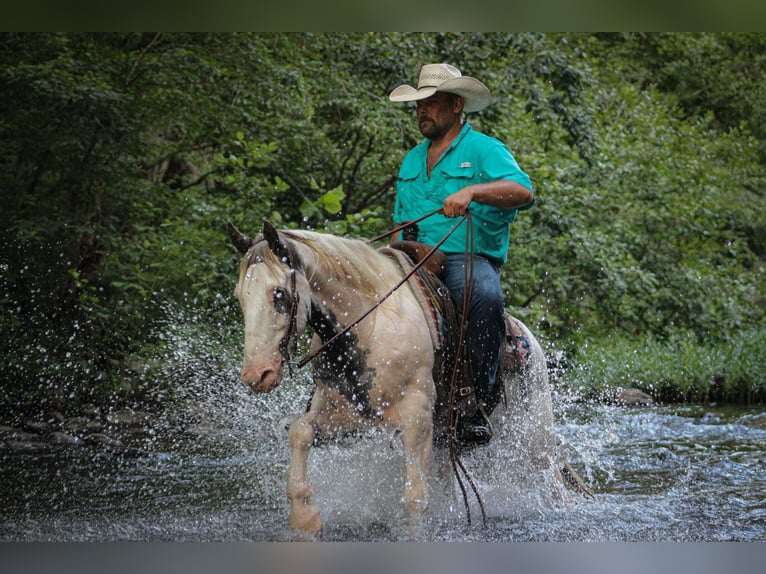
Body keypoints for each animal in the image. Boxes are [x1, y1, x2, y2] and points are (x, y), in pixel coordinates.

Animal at [225, 219, 568, 540]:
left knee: (554, 480)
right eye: (241, 297)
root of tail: (525, 336)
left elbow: (415, 496)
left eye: (278, 294)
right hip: (446, 443)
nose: (257, 375)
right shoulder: (344, 416)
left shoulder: (416, 419)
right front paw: (305, 519)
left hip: (536, 438)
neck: (369, 324)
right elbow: (300, 431)